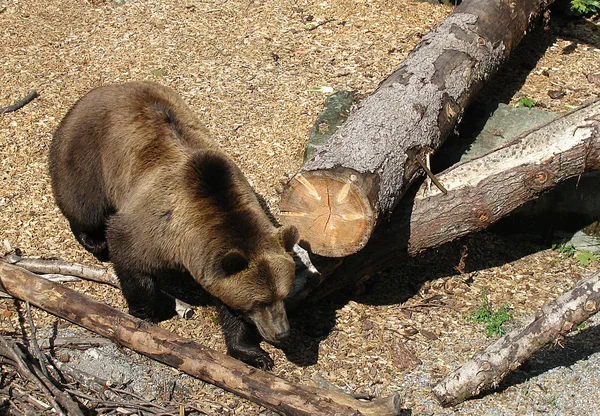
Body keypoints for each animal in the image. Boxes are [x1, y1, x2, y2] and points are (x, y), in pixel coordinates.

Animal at [48, 79, 298, 368]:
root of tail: (106, 88)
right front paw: (149, 311)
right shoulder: (156, 229)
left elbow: (227, 305)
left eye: (283, 295)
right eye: (258, 302)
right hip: (87, 151)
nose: (282, 333)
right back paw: (93, 240)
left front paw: (253, 353)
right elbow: (129, 255)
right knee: (82, 201)